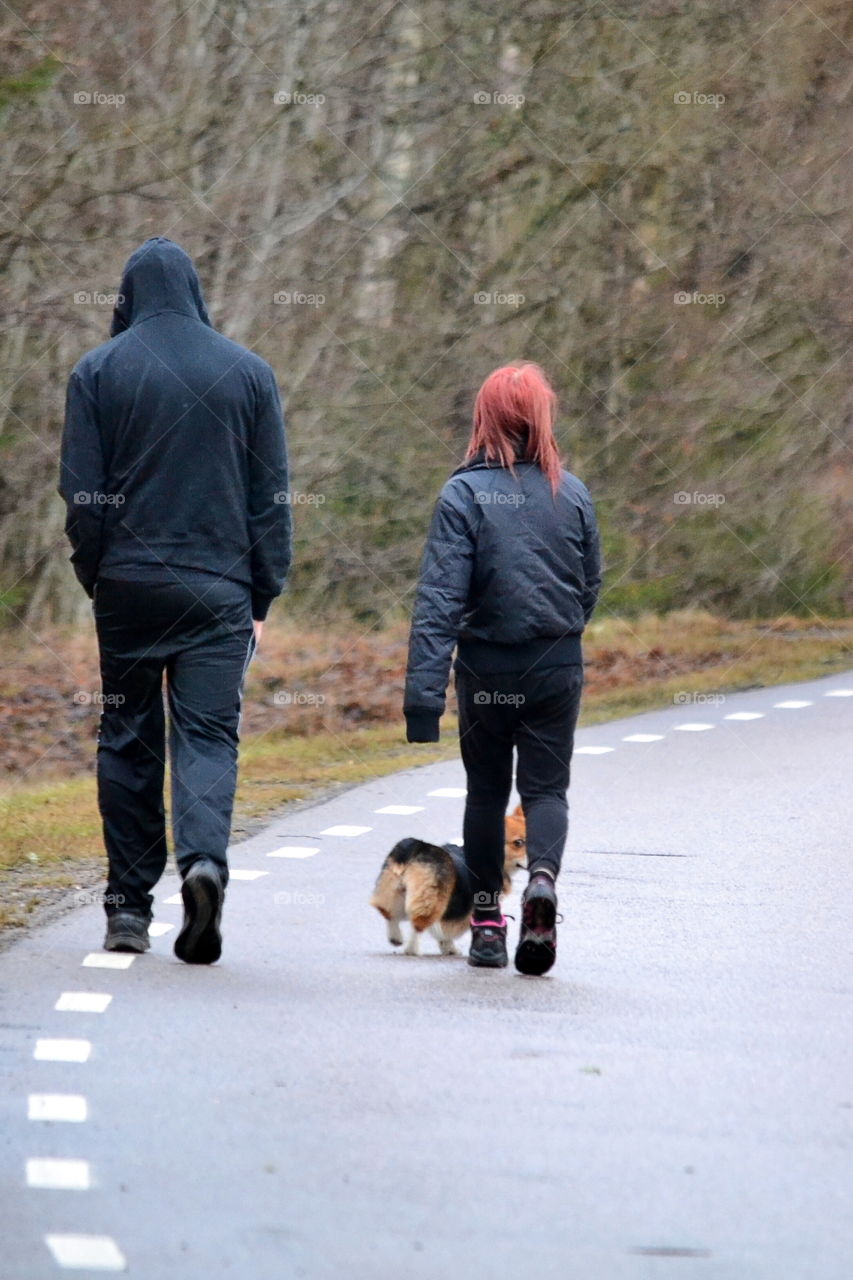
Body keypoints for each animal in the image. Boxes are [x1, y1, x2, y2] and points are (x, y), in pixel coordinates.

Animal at [371, 803, 525, 957]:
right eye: (518, 843)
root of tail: (418, 848)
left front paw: (448, 948)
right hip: (431, 899)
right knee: (418, 923)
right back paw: (412, 949)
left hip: (392, 888)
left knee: (387, 911)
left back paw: (395, 937)